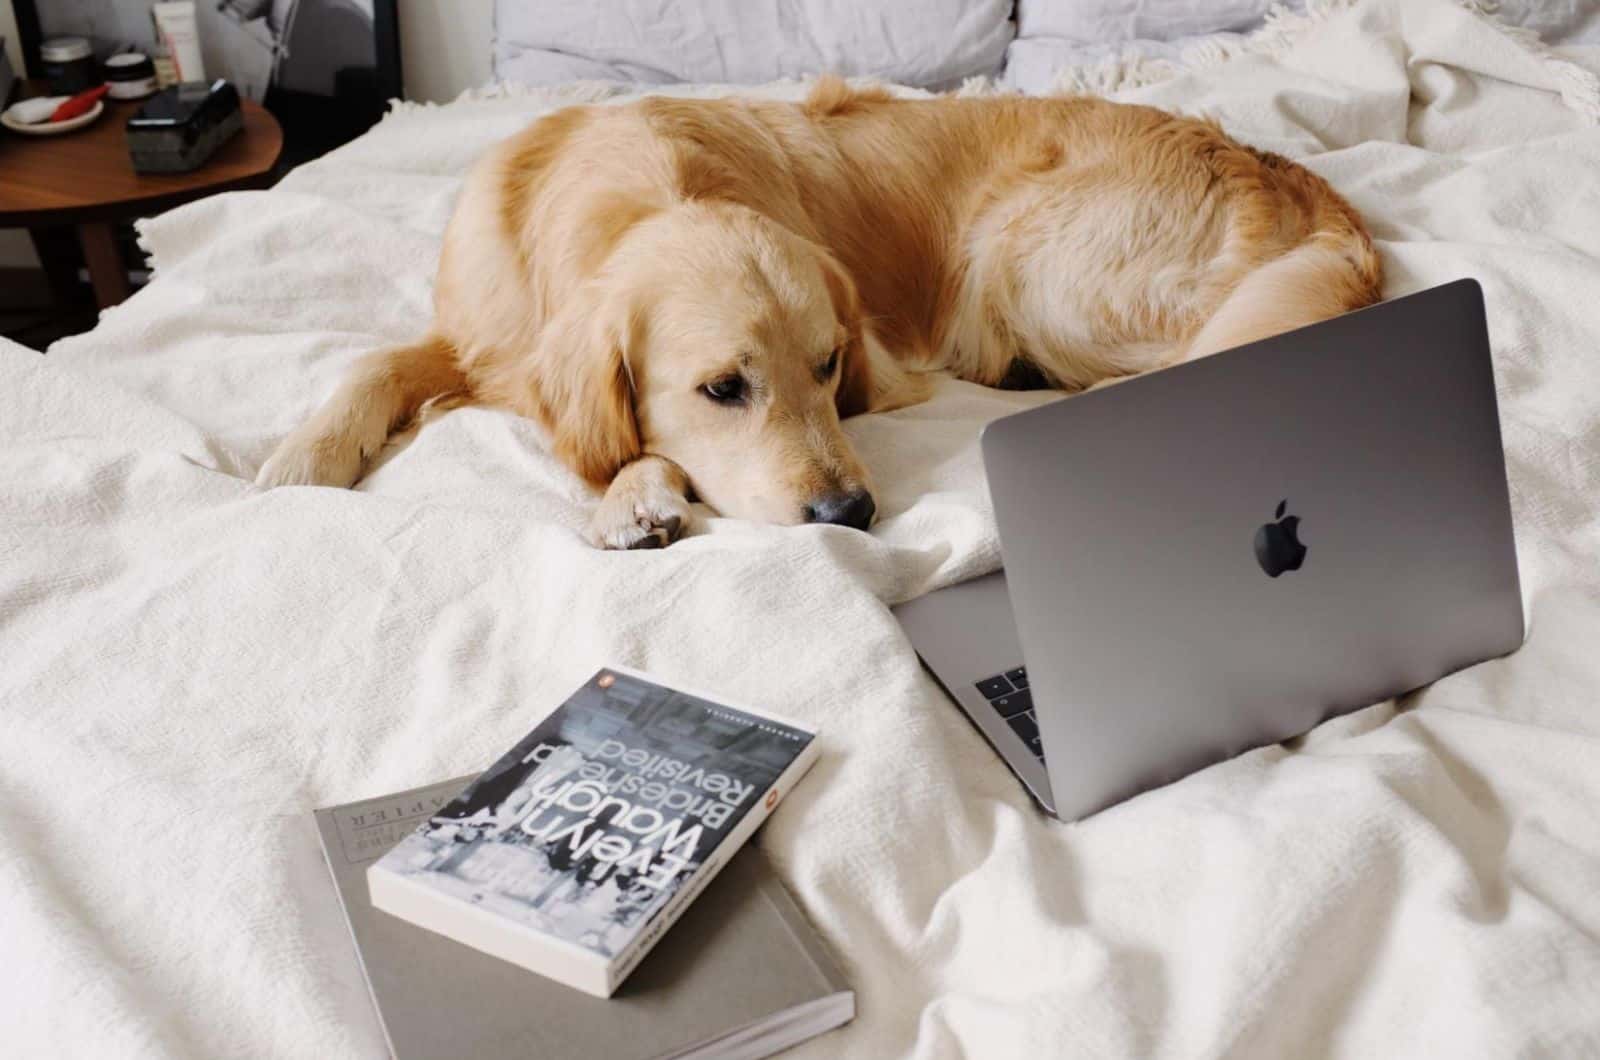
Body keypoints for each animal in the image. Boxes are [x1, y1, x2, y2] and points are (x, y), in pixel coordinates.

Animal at [256, 76, 1382, 547]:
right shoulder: (485, 334)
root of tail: (1285, 172)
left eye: (832, 368)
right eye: (722, 387)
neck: (633, 185)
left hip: (1027, 256)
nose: (851, 516)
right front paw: (304, 454)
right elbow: (375, 362)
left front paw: (633, 492)